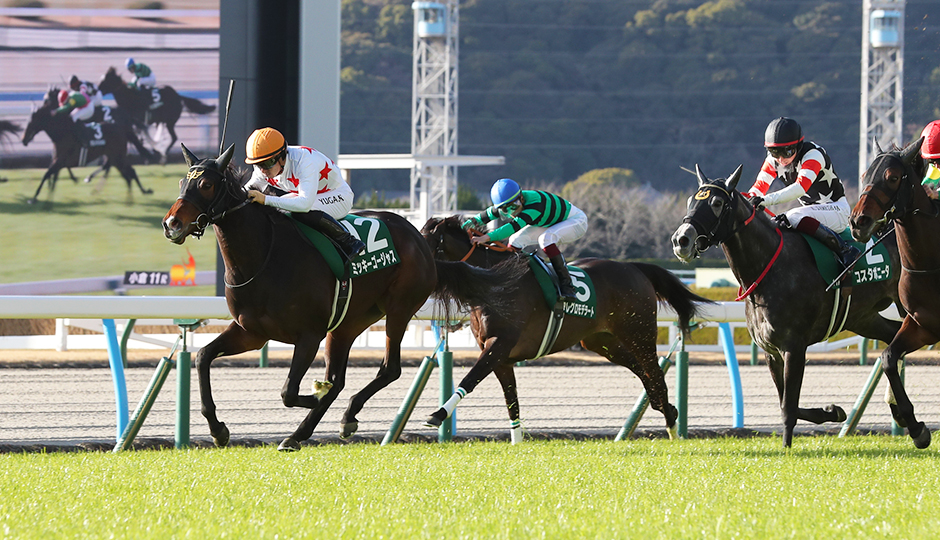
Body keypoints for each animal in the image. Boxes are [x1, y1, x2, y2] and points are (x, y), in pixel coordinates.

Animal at [21, 90, 153, 204]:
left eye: (31, 123)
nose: (23, 140)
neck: (62, 132)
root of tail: (122, 128)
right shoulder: (58, 161)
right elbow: (52, 177)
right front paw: (46, 198)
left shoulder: (60, 161)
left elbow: (46, 175)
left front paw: (34, 198)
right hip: (114, 157)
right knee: (126, 174)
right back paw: (131, 197)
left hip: (118, 157)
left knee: (129, 173)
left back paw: (139, 193)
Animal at [162, 145, 523, 451]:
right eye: (182, 182)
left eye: (206, 184)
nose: (171, 224)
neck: (265, 254)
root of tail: (422, 244)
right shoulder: (251, 332)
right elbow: (203, 357)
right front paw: (218, 429)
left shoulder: (308, 335)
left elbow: (289, 391)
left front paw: (313, 395)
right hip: (347, 324)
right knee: (340, 379)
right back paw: (306, 432)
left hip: (399, 308)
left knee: (388, 369)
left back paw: (333, 419)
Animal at [420, 216, 713, 440]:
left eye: (425, 242)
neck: (494, 282)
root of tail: (634, 268)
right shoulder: (502, 357)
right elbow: (511, 401)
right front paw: (517, 442)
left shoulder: (499, 344)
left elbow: (470, 379)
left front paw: (437, 415)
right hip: (601, 341)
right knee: (643, 371)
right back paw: (666, 409)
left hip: (639, 333)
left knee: (655, 371)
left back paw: (672, 426)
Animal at [671, 164, 911, 447]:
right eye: (690, 200)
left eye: (717, 203)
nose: (681, 240)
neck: (770, 266)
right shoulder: (771, 351)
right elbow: (789, 403)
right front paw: (832, 411)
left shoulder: (794, 347)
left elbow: (788, 406)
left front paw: (787, 447)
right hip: (863, 317)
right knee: (893, 337)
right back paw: (898, 409)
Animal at [849, 137, 935, 448]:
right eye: (865, 175)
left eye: (893, 177)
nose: (858, 221)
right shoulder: (922, 324)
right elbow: (888, 357)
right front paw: (915, 426)